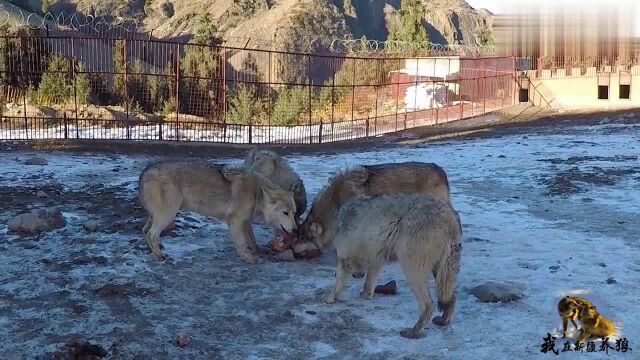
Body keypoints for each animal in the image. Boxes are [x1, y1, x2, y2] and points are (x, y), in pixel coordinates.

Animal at [138, 162, 298, 262]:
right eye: (285, 213)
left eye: (294, 213)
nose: (296, 230)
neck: (256, 193)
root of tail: (145, 172)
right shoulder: (235, 221)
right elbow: (242, 243)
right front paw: (249, 259)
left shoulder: (245, 222)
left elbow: (252, 240)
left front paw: (258, 252)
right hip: (168, 215)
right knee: (152, 233)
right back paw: (160, 257)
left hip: (155, 216)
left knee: (145, 231)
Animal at [324, 193, 460, 338]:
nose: (358, 275)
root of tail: (448, 216)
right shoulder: (375, 260)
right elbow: (368, 284)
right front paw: (365, 295)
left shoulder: (344, 253)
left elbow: (338, 281)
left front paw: (329, 298)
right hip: (441, 272)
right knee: (451, 298)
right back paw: (443, 321)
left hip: (411, 270)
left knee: (428, 305)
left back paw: (414, 331)